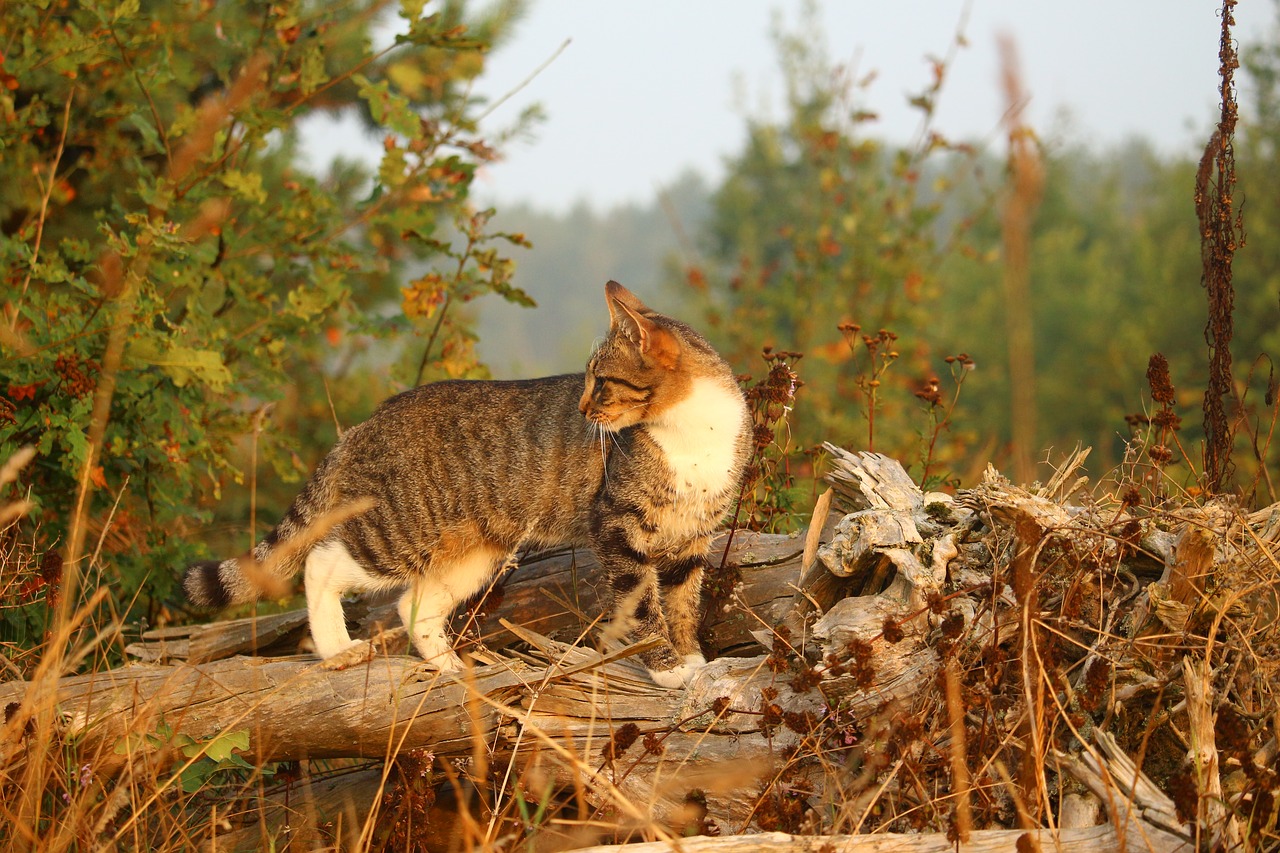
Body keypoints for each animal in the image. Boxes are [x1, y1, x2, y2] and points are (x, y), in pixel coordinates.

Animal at [185, 279, 752, 686]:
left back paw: (449, 669)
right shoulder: (615, 526)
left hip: (474, 551)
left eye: (602, 382)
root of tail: (366, 423)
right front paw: (668, 668)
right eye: (587, 379)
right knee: (321, 563)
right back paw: (339, 648)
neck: (693, 432)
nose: (581, 408)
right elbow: (642, 604)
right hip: (398, 530)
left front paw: (691, 659)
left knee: (412, 607)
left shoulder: (691, 539)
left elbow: (682, 604)